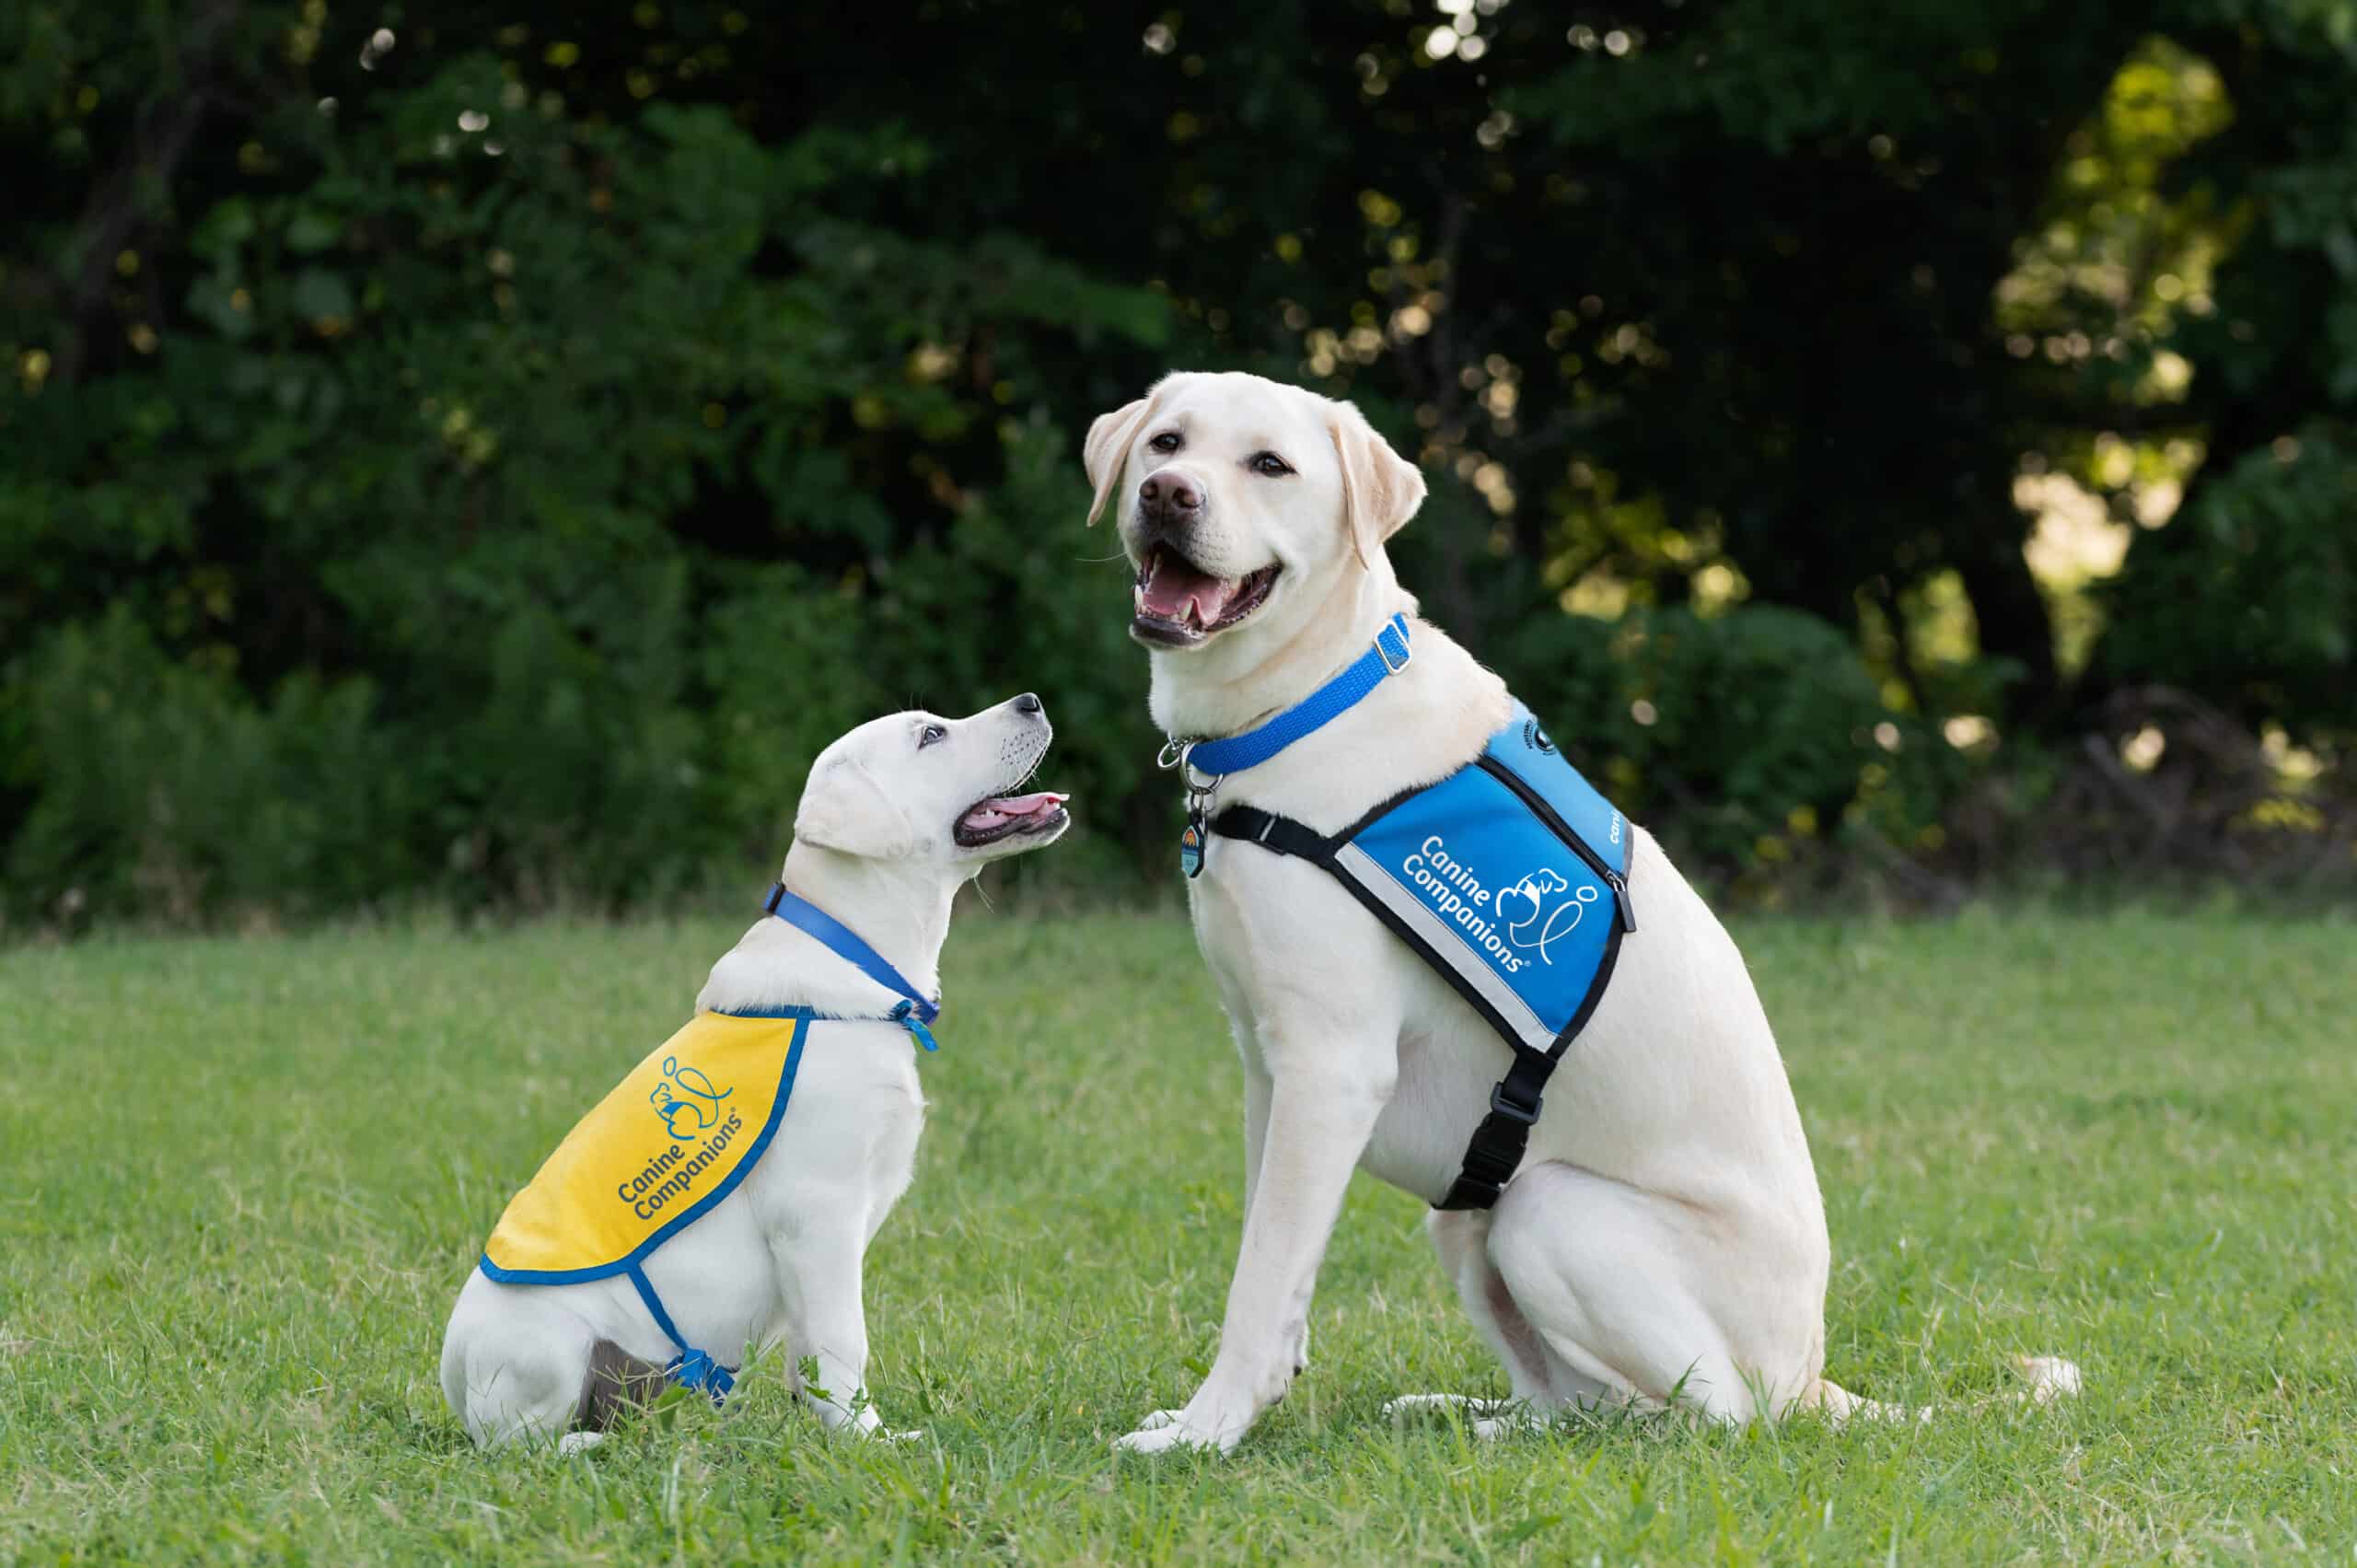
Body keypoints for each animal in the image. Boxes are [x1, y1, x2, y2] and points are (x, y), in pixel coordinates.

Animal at [1084, 372, 2084, 1452]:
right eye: (1166, 443)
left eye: (1270, 464)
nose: (1169, 495)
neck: (1308, 702)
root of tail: (1810, 1377)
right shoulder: (1267, 1064)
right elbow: (1274, 1259)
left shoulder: (1329, 1066)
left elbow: (1259, 1276)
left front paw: (1204, 1431)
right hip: (1465, 1214)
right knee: (1572, 1400)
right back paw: (1466, 1417)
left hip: (1547, 1208)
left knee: (1705, 1416)